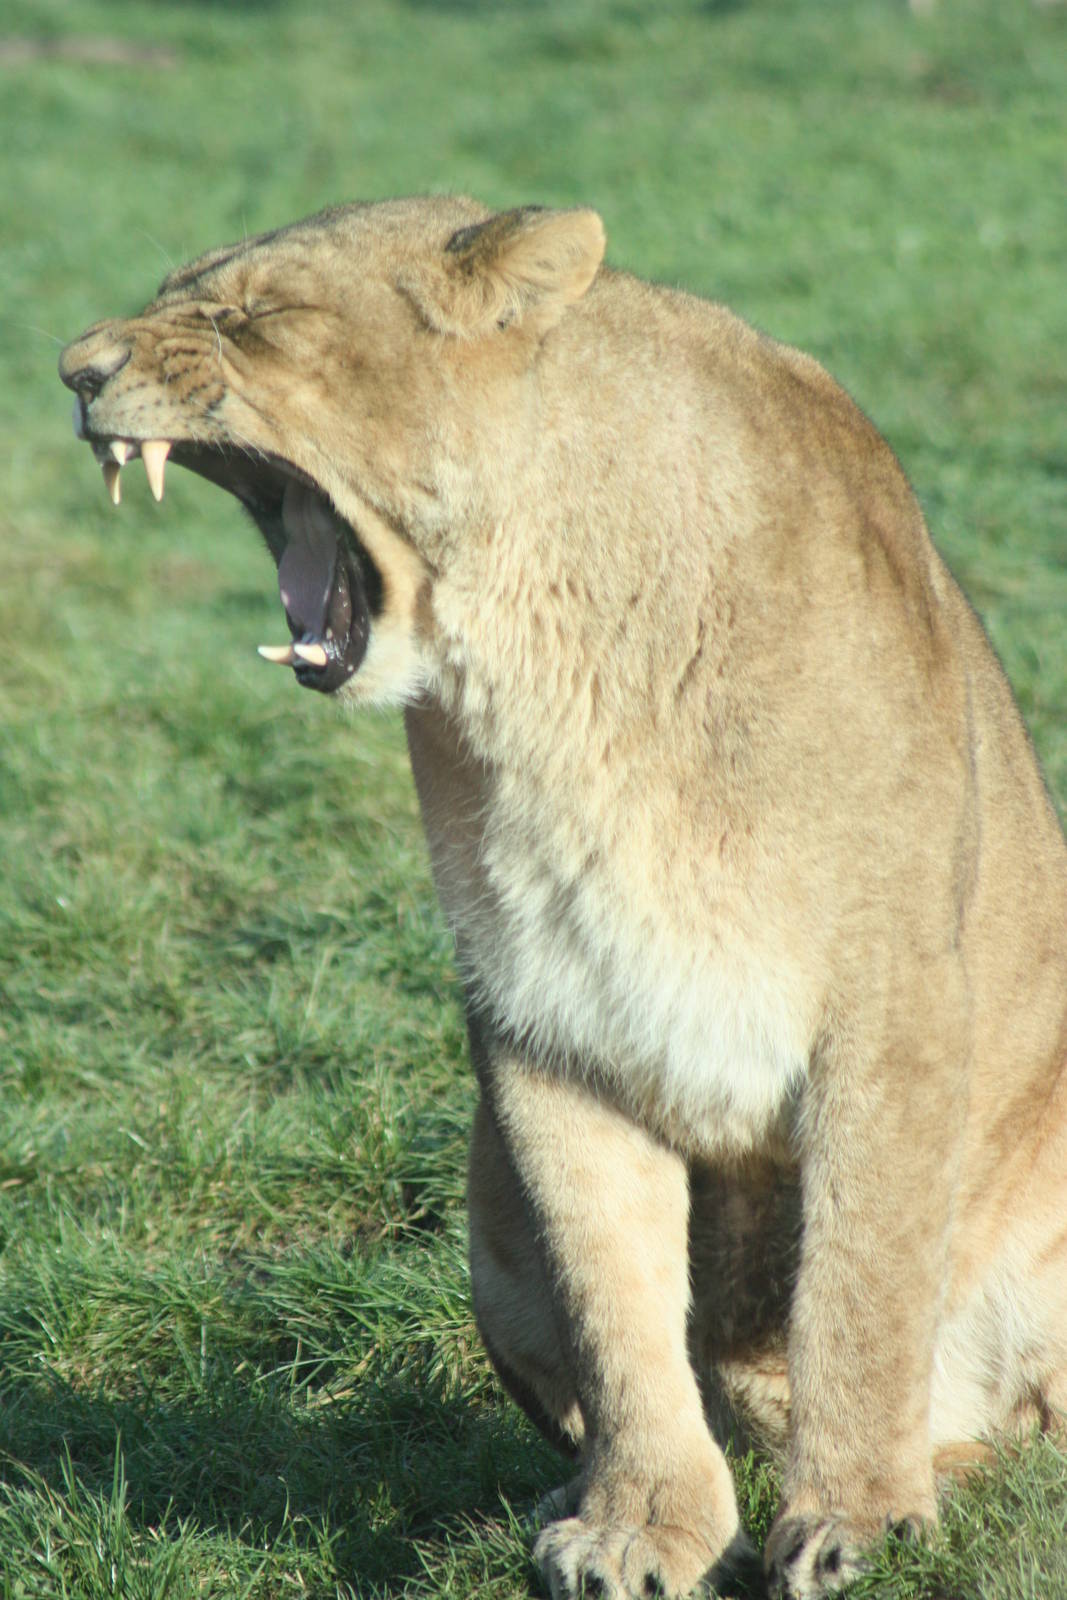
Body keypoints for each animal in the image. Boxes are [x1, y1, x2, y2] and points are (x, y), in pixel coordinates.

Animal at [60, 198, 1067, 1599]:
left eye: (246, 315)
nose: (73, 370)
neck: (544, 659)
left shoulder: (894, 999)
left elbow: (859, 1283)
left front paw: (860, 1521)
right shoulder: (544, 1013)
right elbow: (613, 1301)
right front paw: (642, 1524)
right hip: (485, 1221)